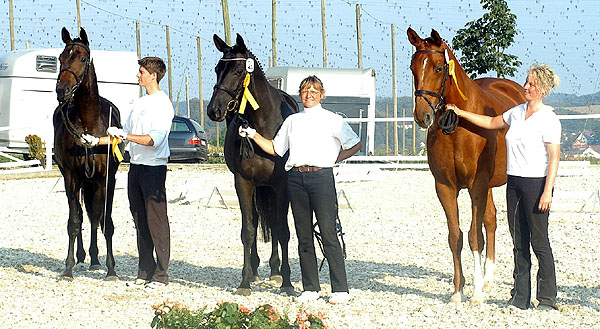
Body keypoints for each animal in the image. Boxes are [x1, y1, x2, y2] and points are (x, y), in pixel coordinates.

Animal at [54, 27, 123, 280]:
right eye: (61, 58)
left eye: (83, 59)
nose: (62, 91)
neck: (89, 124)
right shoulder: (72, 177)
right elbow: (74, 221)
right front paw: (67, 268)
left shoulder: (107, 179)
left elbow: (106, 221)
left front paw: (111, 269)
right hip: (79, 181)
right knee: (83, 215)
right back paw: (83, 257)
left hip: (93, 182)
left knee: (94, 217)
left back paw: (94, 259)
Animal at [207, 33, 298, 294]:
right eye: (217, 69)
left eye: (239, 70)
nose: (214, 110)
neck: (263, 124)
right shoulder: (243, 182)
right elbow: (248, 230)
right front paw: (245, 281)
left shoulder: (281, 185)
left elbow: (282, 230)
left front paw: (287, 282)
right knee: (257, 221)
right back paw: (257, 270)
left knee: (275, 225)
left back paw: (276, 271)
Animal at [408, 28, 524, 302]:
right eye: (412, 68)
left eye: (439, 68)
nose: (422, 116)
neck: (459, 127)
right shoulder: (445, 187)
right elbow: (455, 236)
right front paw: (458, 291)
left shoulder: (476, 185)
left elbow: (474, 236)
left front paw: (476, 293)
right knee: (491, 220)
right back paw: (488, 277)